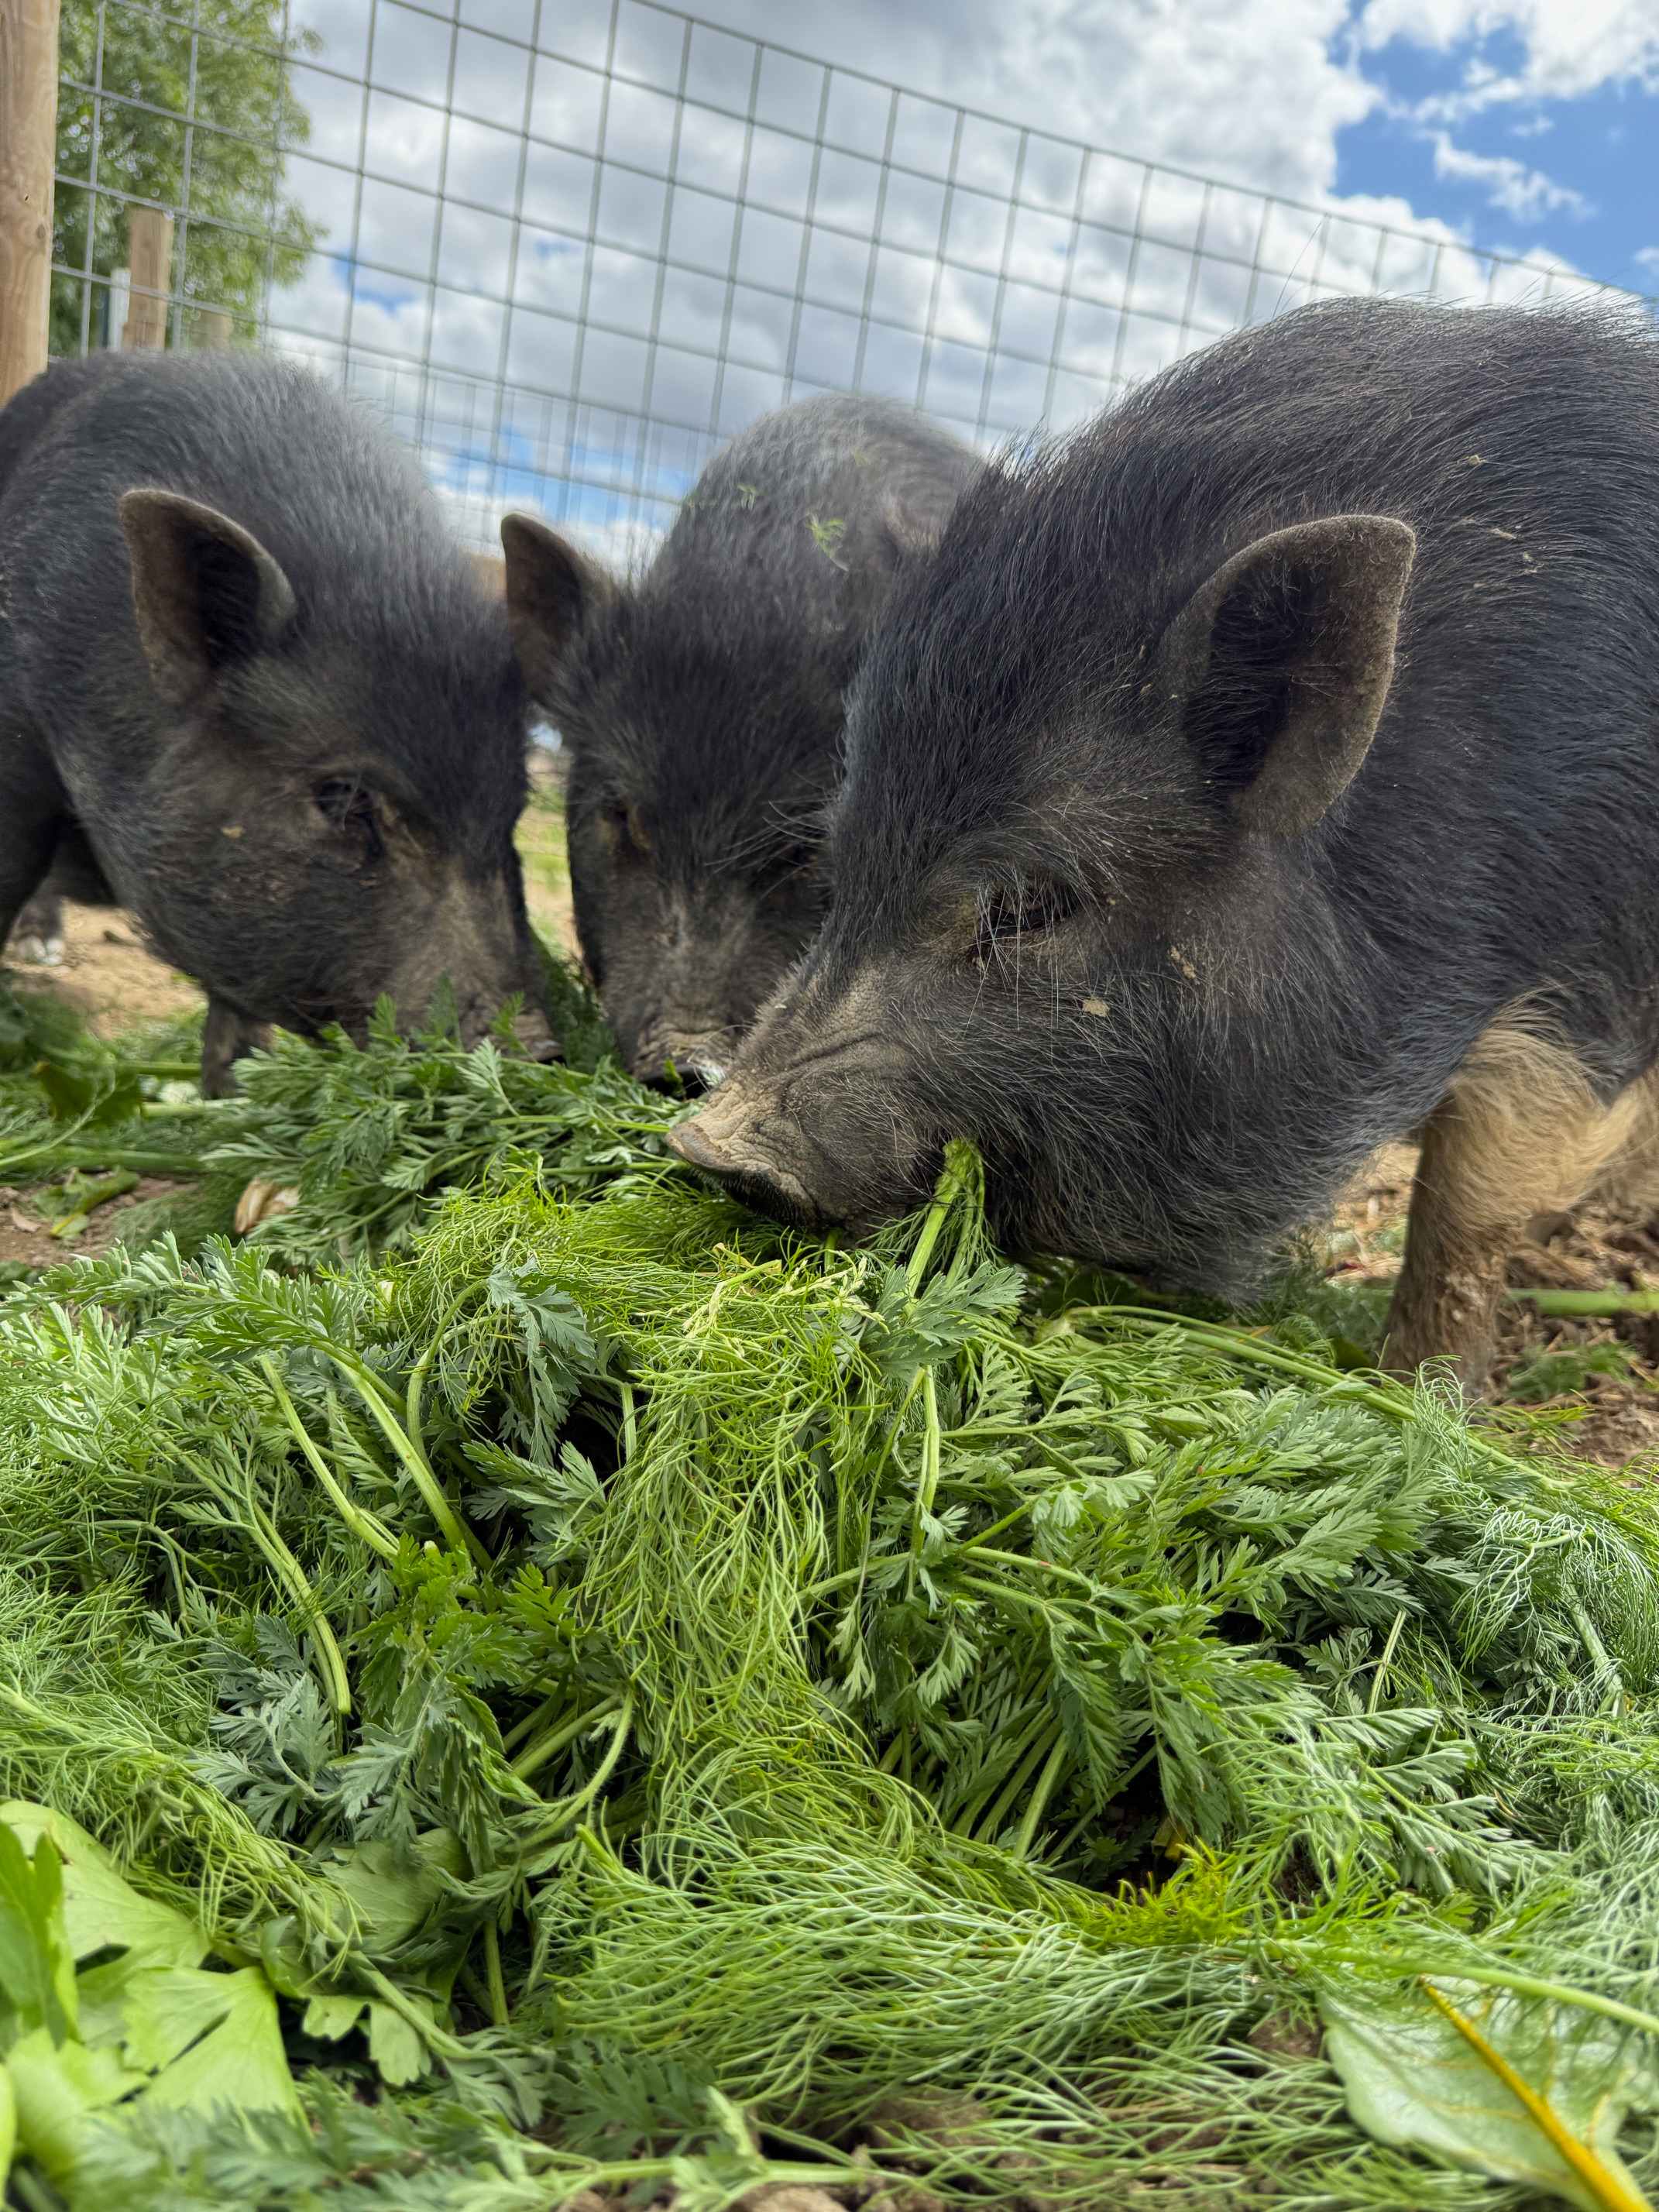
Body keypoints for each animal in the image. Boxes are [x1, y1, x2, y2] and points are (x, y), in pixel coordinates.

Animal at [668, 298, 1659, 1391]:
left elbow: (1472, 1202)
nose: (705, 1139)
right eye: (838, 870)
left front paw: (1418, 1393)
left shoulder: (1591, 981)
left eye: (1026, 904)